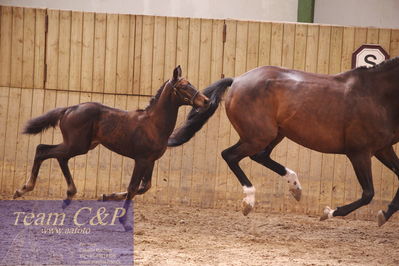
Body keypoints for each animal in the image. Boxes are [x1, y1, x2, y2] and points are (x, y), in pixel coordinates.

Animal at [14, 66, 211, 229]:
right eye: (184, 86)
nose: (206, 101)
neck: (153, 124)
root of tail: (69, 109)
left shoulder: (151, 161)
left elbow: (144, 187)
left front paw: (106, 196)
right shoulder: (141, 159)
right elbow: (133, 188)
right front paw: (123, 221)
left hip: (80, 146)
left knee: (57, 155)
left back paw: (68, 196)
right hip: (76, 145)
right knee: (43, 150)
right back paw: (23, 189)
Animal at [168, 57, 399, 225]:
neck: (376, 95)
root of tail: (237, 80)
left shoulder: (383, 149)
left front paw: (384, 214)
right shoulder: (360, 152)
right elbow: (368, 193)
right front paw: (329, 212)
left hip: (274, 134)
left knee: (259, 156)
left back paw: (295, 186)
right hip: (259, 135)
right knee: (231, 155)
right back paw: (249, 201)